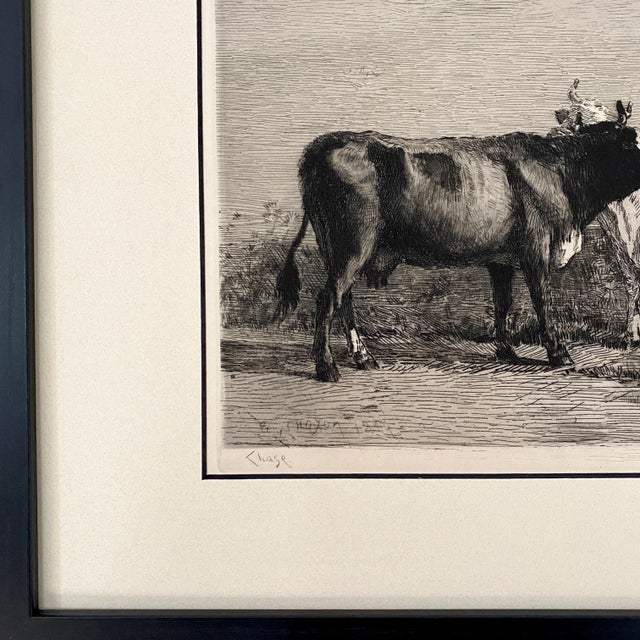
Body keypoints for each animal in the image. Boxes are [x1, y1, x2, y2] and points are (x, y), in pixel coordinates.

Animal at [275, 118, 640, 382]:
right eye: (630, 142)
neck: (559, 173)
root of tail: (324, 143)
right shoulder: (536, 249)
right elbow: (542, 302)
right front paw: (558, 354)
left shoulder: (501, 260)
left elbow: (503, 303)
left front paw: (506, 351)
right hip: (353, 244)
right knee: (328, 298)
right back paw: (326, 367)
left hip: (337, 248)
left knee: (343, 299)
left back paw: (364, 357)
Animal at [551, 79, 640, 347]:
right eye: (567, 116)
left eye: (596, 114)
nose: (553, 135)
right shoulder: (618, 242)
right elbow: (632, 280)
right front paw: (631, 334)